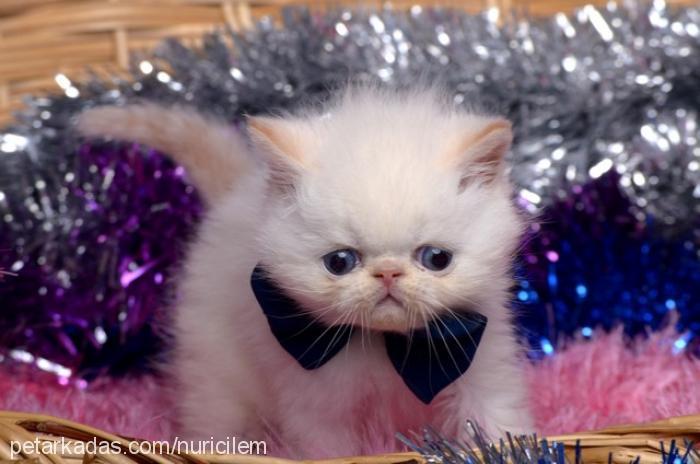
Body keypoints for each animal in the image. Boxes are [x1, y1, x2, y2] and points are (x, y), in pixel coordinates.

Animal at [76, 86, 532, 456]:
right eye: (340, 262)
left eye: (437, 258)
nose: (387, 273)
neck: (389, 347)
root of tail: (234, 195)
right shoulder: (315, 402)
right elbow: (328, 450)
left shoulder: (485, 366)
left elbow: (495, 424)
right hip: (215, 371)